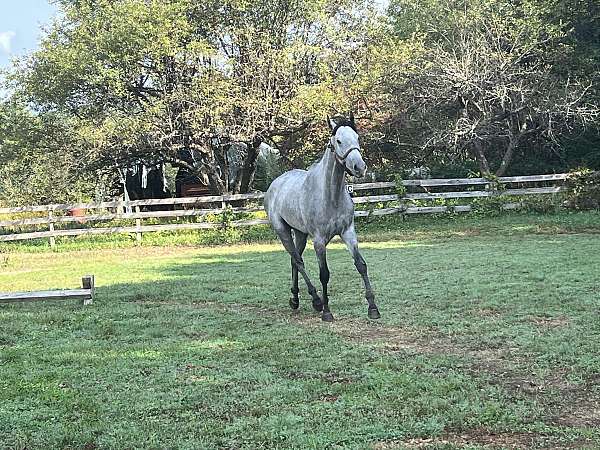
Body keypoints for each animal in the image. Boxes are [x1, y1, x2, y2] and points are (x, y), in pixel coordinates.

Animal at [266, 114, 382, 322]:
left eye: (357, 137)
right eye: (339, 141)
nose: (359, 167)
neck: (330, 195)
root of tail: (275, 184)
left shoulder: (348, 232)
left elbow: (361, 265)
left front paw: (373, 307)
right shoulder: (319, 241)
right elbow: (324, 274)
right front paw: (327, 312)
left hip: (300, 233)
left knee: (295, 260)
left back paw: (295, 299)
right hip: (282, 231)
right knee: (298, 261)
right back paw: (316, 300)